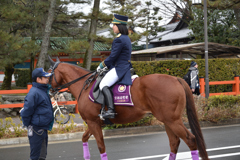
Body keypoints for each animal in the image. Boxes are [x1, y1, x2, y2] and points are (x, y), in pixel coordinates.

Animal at [48, 57, 208, 160]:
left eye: (49, 72)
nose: (50, 91)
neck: (84, 85)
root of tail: (175, 78)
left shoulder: (93, 122)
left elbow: (101, 147)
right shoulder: (94, 122)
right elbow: (84, 138)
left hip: (172, 120)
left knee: (191, 140)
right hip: (168, 121)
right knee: (174, 143)